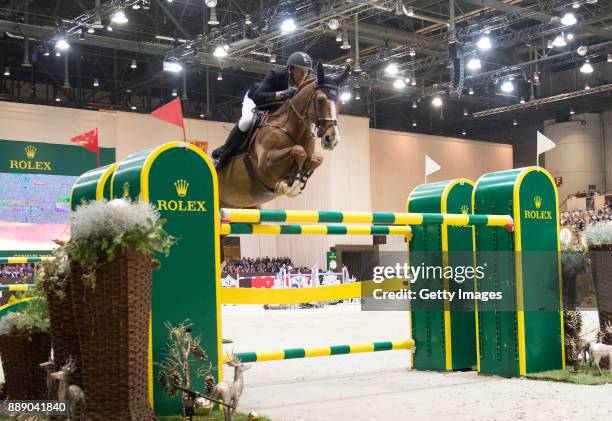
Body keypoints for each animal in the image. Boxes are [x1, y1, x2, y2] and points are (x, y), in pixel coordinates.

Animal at [218, 61, 350, 208]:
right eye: (320, 100)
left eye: (340, 103)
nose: (332, 139)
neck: (293, 129)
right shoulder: (265, 163)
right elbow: (298, 150)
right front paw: (288, 185)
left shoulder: (310, 156)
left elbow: (317, 158)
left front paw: (298, 183)